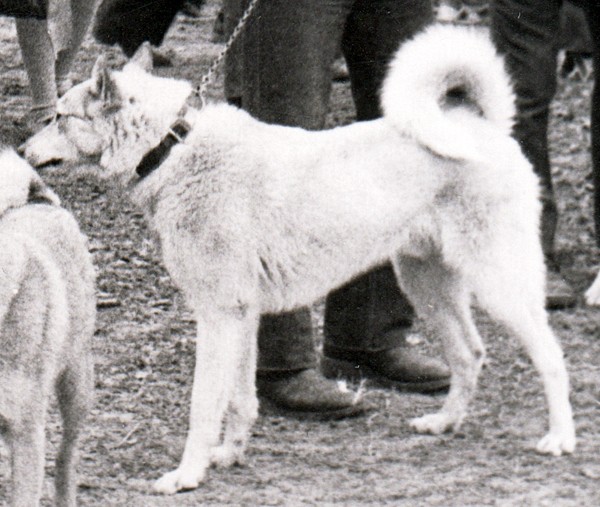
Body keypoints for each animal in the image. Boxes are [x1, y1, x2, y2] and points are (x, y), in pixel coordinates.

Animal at [22, 25, 576, 495]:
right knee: (469, 354)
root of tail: (483, 127)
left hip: (499, 285)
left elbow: (205, 405)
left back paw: (560, 438)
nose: (23, 151)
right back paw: (444, 422)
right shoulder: (241, 316)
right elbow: (240, 398)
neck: (172, 146)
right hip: (427, 284)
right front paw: (230, 453)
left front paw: (187, 474)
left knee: (550, 357)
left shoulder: (219, 316)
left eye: (60, 117)